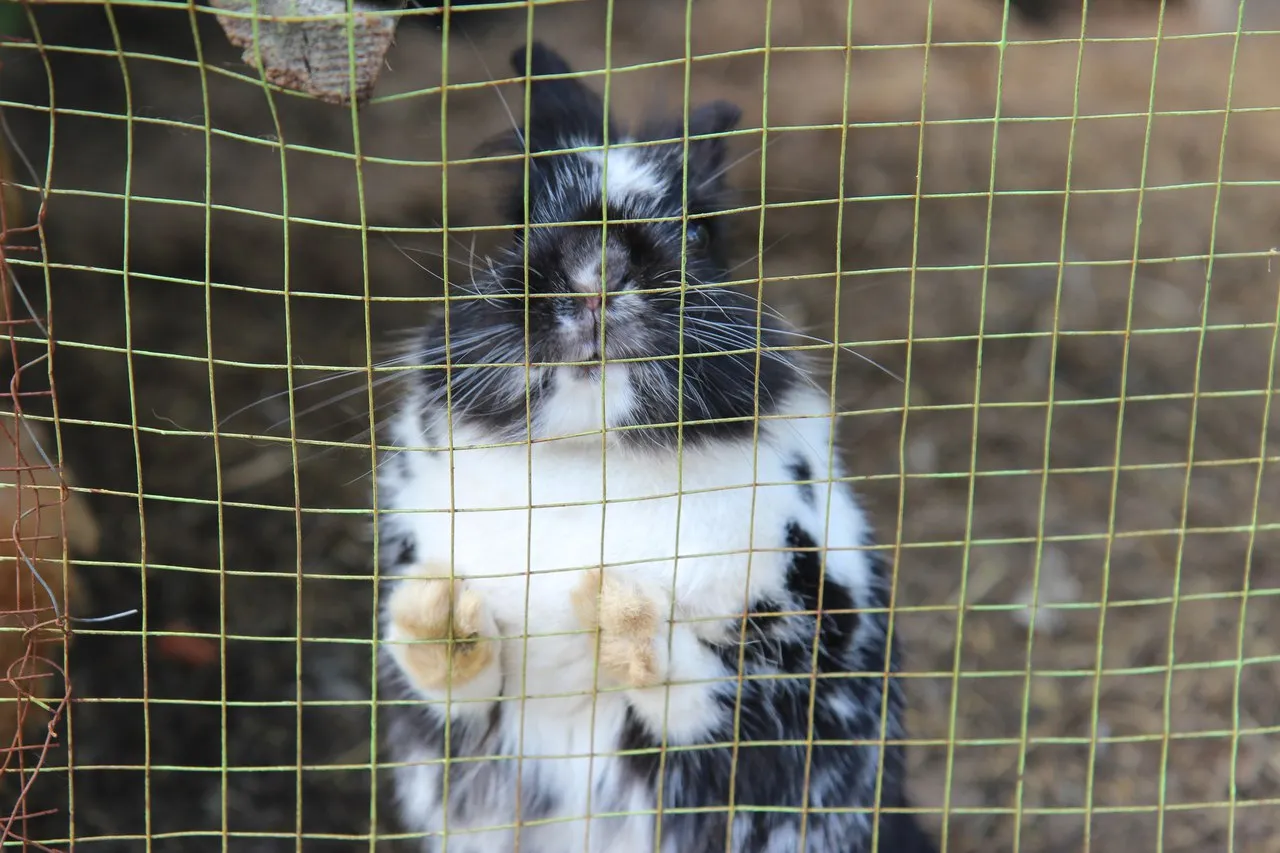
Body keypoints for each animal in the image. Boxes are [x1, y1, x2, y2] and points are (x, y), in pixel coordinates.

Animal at [375, 41, 937, 853]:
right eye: (517, 224)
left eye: (700, 232)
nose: (597, 271)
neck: (593, 461)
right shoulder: (461, 716)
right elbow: (452, 677)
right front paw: (435, 609)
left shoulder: (807, 634)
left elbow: (698, 687)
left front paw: (616, 604)